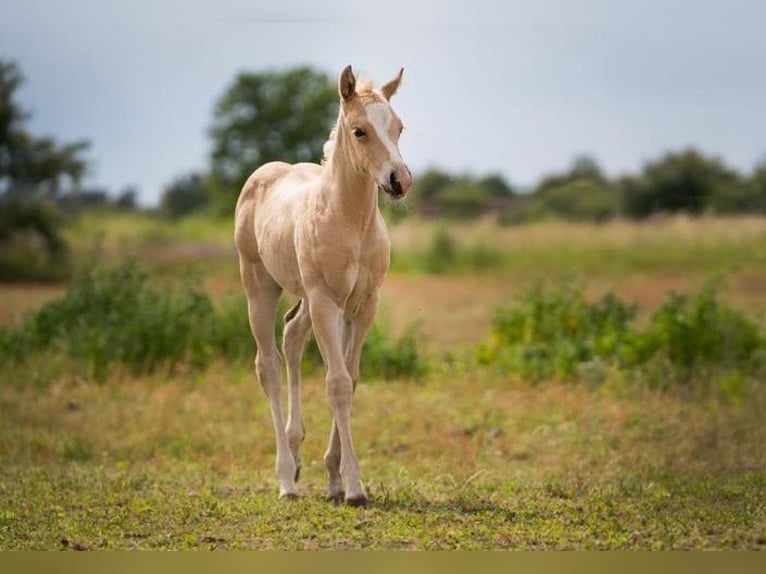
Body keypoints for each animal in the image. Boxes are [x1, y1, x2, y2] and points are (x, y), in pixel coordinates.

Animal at [236, 66, 412, 508]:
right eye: (359, 131)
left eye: (399, 128)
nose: (399, 180)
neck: (350, 222)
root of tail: (265, 172)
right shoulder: (326, 302)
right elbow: (337, 383)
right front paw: (354, 486)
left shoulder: (363, 304)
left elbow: (352, 376)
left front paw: (334, 478)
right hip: (259, 286)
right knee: (268, 367)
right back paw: (286, 477)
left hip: (305, 299)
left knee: (292, 335)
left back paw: (297, 454)